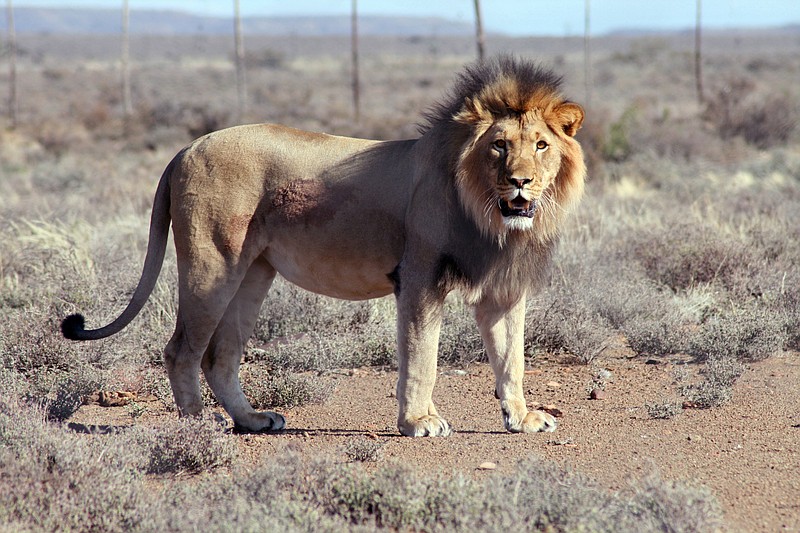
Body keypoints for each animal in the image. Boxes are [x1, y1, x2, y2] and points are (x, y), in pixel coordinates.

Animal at [62, 55, 584, 436]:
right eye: (499, 145)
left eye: (540, 145)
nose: (520, 182)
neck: (488, 213)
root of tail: (185, 148)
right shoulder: (420, 278)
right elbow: (422, 358)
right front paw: (418, 421)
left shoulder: (503, 289)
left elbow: (512, 359)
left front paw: (522, 417)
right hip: (212, 266)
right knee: (181, 351)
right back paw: (197, 428)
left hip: (253, 273)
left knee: (220, 356)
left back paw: (252, 420)